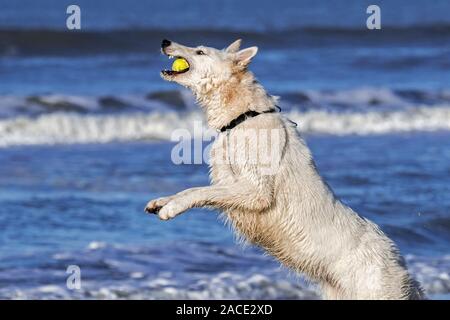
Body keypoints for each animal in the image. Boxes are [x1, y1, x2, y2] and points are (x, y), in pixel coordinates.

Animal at [146, 39, 424, 300]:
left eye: (200, 51)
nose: (164, 42)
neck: (244, 116)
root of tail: (405, 270)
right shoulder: (229, 180)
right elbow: (192, 190)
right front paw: (163, 201)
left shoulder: (255, 192)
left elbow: (199, 191)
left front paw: (171, 208)